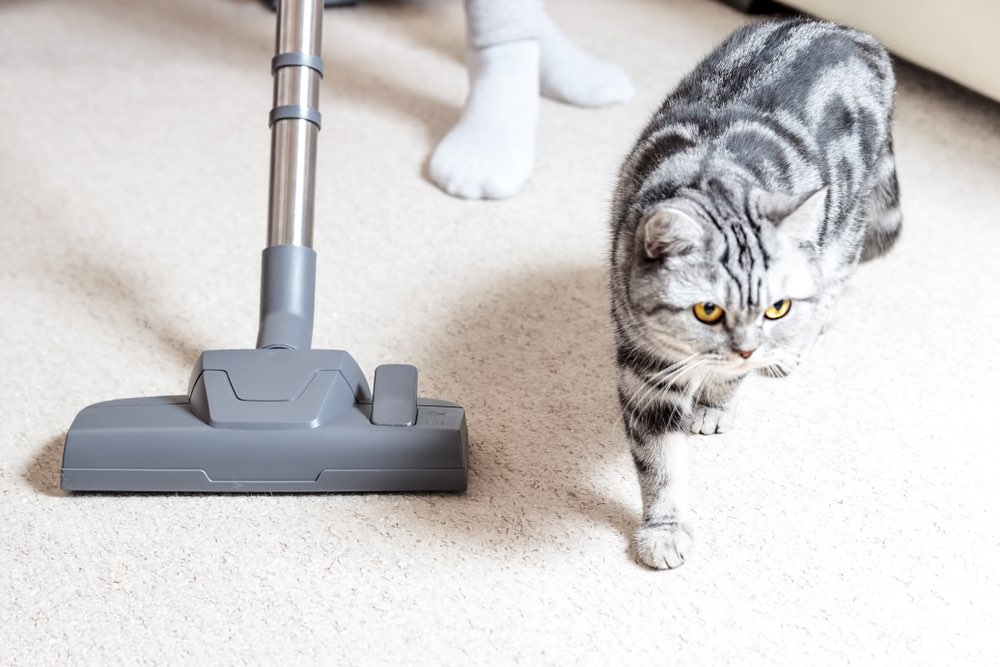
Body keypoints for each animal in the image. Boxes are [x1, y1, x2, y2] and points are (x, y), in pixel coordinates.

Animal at [604, 17, 904, 568]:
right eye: (707, 310)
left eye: (776, 308)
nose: (748, 348)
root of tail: (851, 30)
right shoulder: (645, 366)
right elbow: (660, 461)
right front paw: (663, 527)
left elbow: (728, 384)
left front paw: (717, 404)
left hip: (845, 223)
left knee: (835, 279)